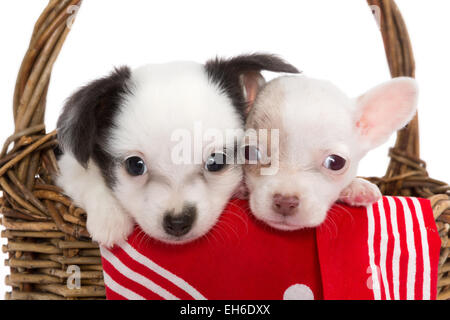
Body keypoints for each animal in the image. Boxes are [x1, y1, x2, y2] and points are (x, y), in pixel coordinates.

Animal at [55, 54, 298, 248]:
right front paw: (110, 216)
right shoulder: (67, 163)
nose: (179, 222)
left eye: (216, 162)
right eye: (135, 165)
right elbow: (87, 175)